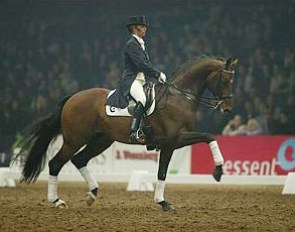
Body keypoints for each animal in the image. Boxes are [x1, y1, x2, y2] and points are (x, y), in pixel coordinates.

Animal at [15, 56, 239, 212]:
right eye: (226, 79)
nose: (227, 108)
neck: (179, 96)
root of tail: (73, 97)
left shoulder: (177, 140)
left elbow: (208, 138)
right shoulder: (172, 140)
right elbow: (166, 170)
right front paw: (217, 172)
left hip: (101, 140)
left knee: (79, 160)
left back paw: (92, 194)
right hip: (74, 139)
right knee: (56, 163)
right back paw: (57, 201)